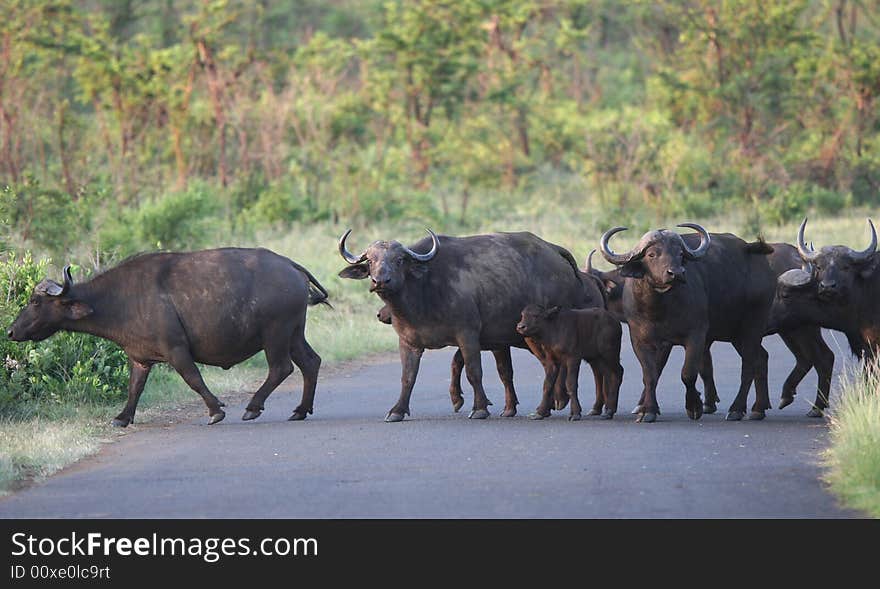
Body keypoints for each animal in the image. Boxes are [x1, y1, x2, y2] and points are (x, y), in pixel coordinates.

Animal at [5, 249, 328, 428]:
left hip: (276, 333)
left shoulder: (176, 349)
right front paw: (122, 417)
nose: (10, 331)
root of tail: (290, 265)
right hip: (294, 333)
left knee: (281, 368)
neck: (118, 299)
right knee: (311, 362)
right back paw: (300, 410)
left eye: (35, 302)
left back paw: (253, 407)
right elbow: (134, 388)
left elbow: (193, 378)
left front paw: (215, 411)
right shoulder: (139, 358)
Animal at [336, 229, 600, 418]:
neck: (423, 293)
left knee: (558, 365)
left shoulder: (468, 335)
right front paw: (397, 411)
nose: (380, 281)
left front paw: (480, 408)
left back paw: (559, 401)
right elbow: (408, 377)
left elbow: (474, 371)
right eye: (371, 260)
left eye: (400, 260)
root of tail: (554, 250)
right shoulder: (408, 342)